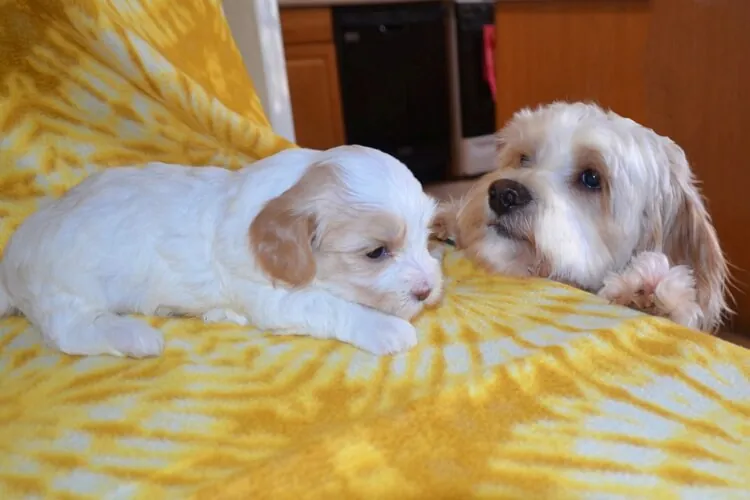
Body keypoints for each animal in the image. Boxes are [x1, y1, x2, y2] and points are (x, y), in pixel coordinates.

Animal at [0, 146, 443, 357]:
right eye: (376, 253)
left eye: (426, 238)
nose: (427, 291)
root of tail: (10, 260)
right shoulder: (272, 297)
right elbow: (334, 306)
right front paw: (385, 328)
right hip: (66, 290)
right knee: (69, 333)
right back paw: (134, 336)